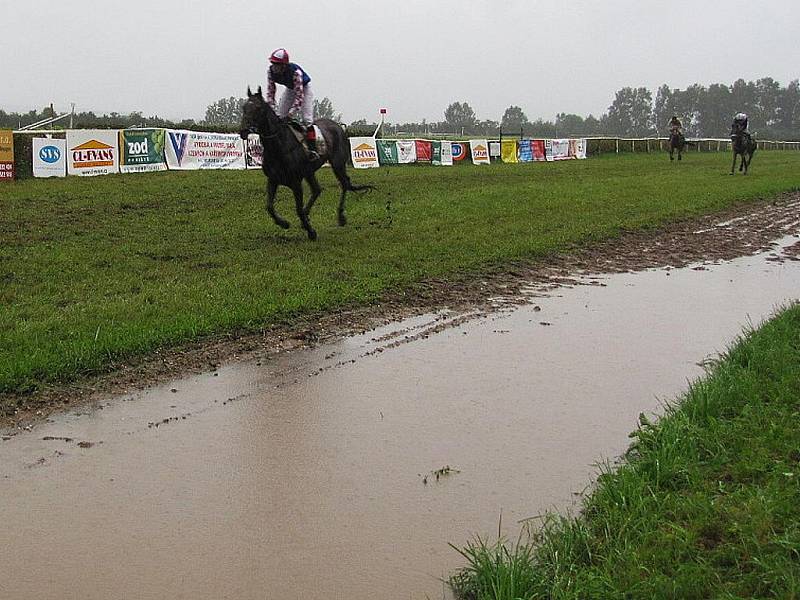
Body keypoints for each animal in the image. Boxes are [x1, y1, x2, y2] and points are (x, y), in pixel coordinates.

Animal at [239, 85, 374, 240]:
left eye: (258, 108)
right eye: (244, 107)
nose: (243, 131)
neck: (279, 146)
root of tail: (338, 126)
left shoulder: (296, 183)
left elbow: (297, 209)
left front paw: (311, 231)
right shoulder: (273, 179)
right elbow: (269, 206)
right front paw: (284, 223)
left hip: (338, 163)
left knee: (344, 184)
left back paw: (340, 217)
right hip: (310, 171)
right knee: (317, 190)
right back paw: (307, 217)